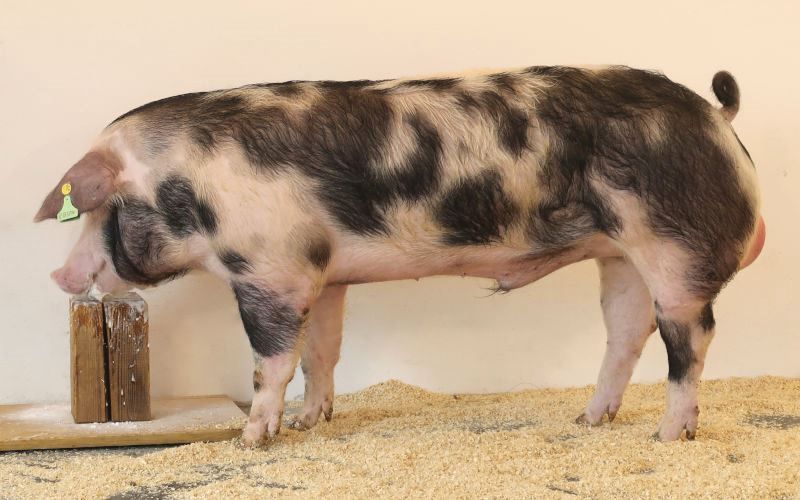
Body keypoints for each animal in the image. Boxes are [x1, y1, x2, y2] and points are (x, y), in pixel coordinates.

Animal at [35, 66, 765, 444]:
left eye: (100, 208)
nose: (57, 273)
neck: (188, 182)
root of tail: (716, 118)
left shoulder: (272, 273)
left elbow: (270, 363)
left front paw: (255, 437)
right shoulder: (324, 275)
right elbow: (322, 354)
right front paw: (312, 421)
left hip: (675, 248)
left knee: (691, 339)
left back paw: (669, 436)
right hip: (619, 253)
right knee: (627, 333)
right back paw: (587, 420)